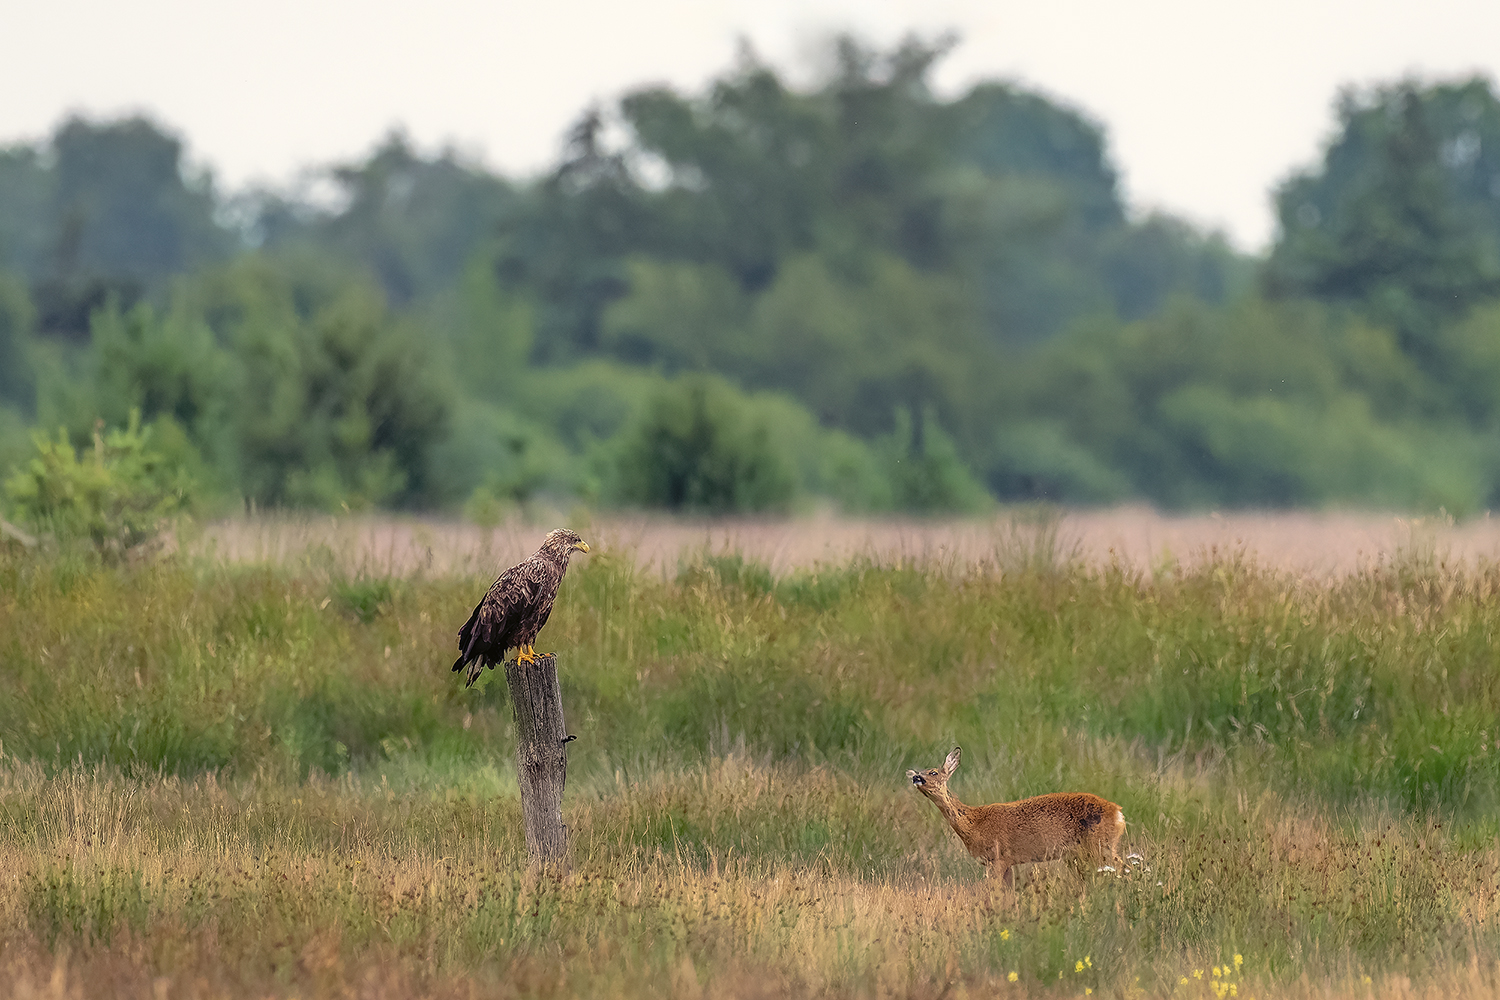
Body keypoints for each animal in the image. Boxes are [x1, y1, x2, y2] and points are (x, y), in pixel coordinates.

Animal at [900, 746, 1128, 887]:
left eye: (933, 772)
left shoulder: (996, 857)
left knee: (1122, 867)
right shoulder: (1008, 862)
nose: (915, 777)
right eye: (921, 771)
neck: (973, 823)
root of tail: (1119, 813)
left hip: (1100, 845)